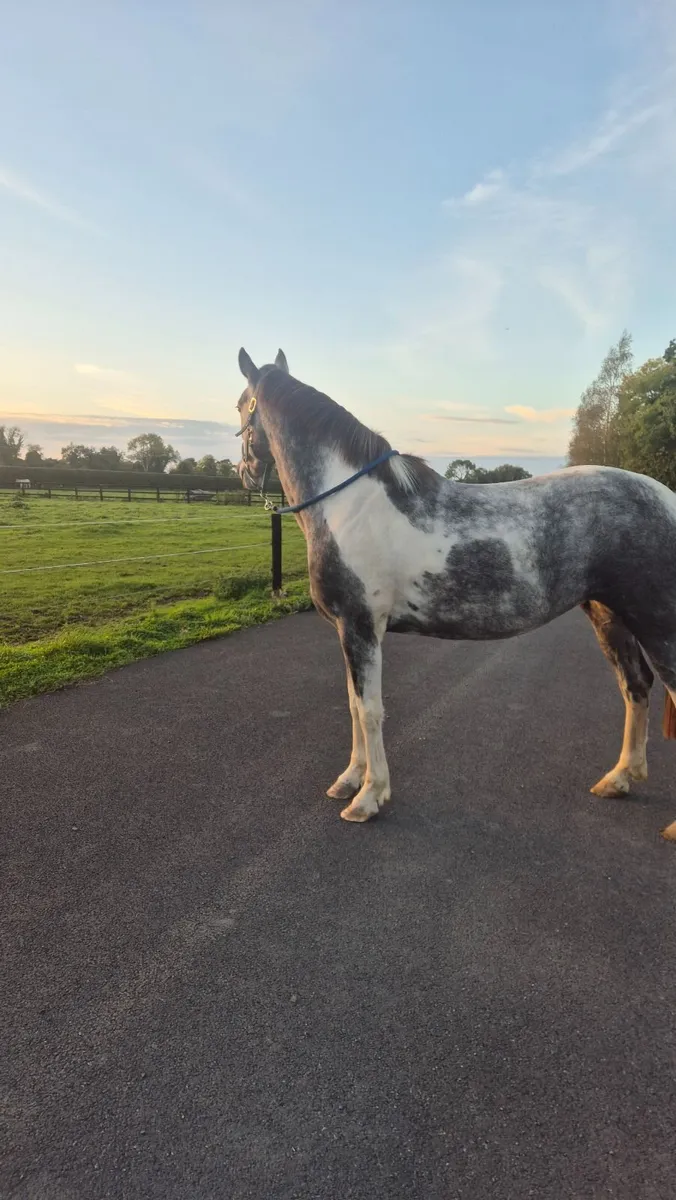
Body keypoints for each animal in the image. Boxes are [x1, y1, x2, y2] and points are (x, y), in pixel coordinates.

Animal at [234, 347, 676, 842]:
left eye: (240, 407)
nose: (244, 473)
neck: (350, 504)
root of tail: (668, 500)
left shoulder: (361, 626)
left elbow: (369, 710)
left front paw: (368, 797)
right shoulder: (349, 630)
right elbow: (352, 704)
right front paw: (349, 780)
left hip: (658, 622)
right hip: (608, 615)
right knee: (634, 685)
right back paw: (619, 779)